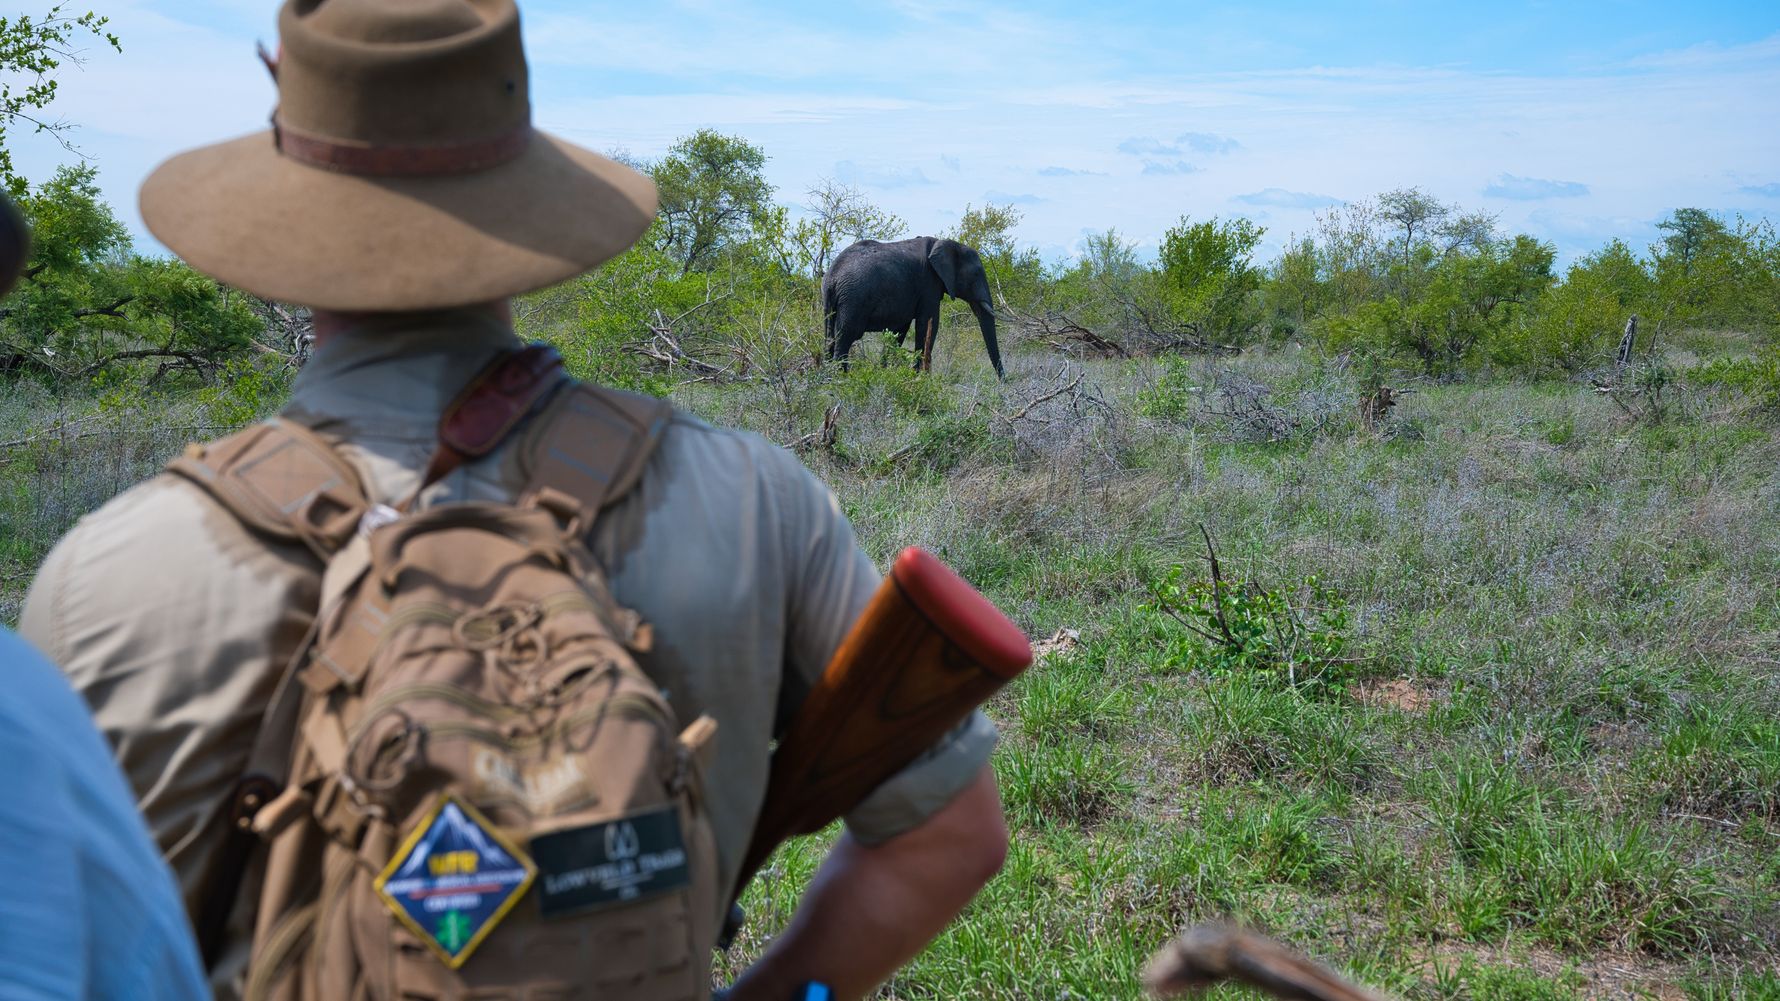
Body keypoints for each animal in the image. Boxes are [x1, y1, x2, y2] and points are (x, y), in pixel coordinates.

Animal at [821, 236, 1006, 380]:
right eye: (976, 274)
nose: (1003, 382)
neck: (945, 242)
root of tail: (832, 277)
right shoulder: (928, 284)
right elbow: (928, 324)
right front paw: (920, 378)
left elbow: (898, 331)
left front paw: (885, 372)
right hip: (853, 300)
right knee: (846, 336)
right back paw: (840, 379)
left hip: (831, 302)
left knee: (830, 336)